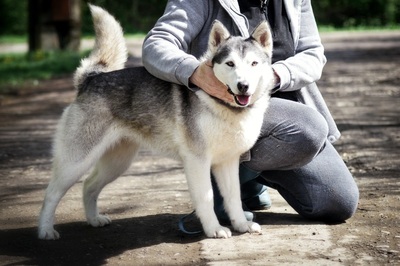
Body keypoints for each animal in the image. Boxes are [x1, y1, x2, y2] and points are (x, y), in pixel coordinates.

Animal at [37, 5, 274, 240]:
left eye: (253, 64)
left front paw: (241, 225)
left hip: (117, 163)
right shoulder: (197, 162)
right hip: (76, 161)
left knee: (88, 186)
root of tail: (92, 77)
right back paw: (45, 230)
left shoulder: (228, 162)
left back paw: (94, 219)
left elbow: (234, 199)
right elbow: (206, 199)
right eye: (230, 64)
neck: (222, 106)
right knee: (51, 194)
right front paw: (213, 229)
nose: (243, 86)